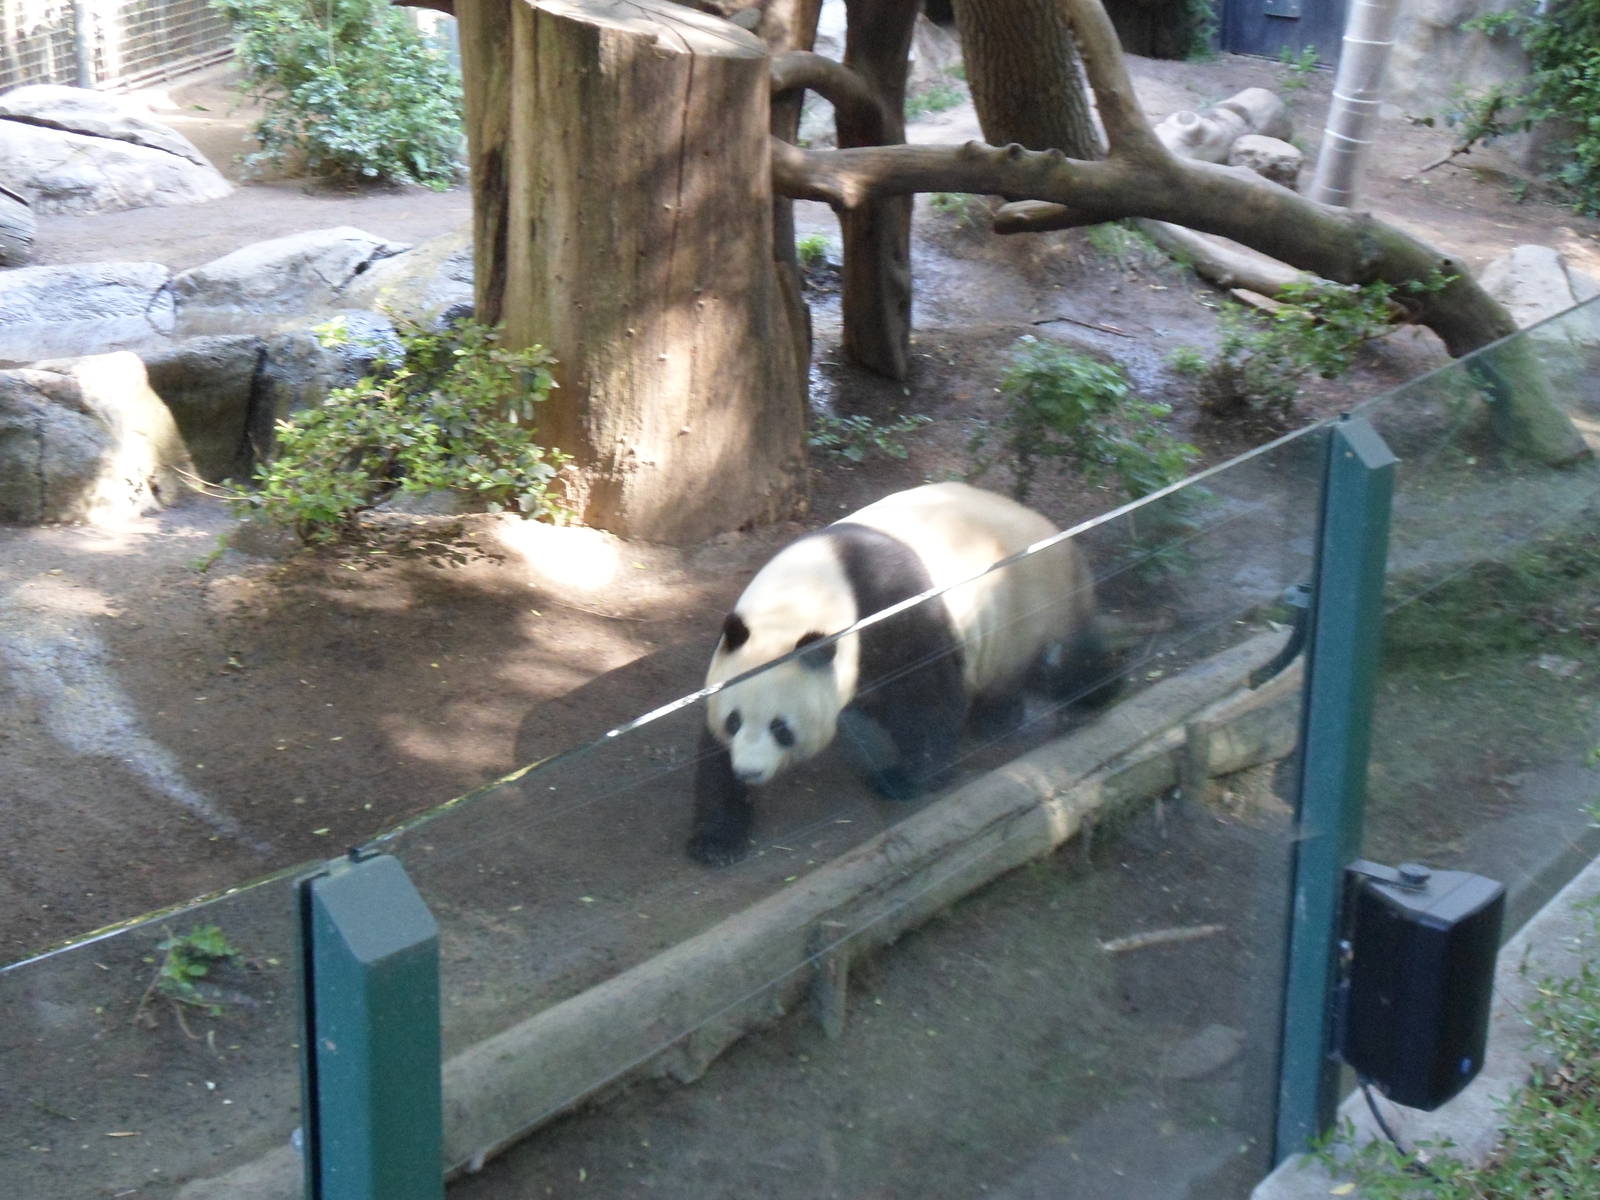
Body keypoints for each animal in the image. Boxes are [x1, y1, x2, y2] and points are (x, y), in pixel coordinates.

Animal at [688, 481, 1114, 866]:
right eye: (733, 721)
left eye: (781, 727)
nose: (750, 770)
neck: (805, 591)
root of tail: (1060, 538)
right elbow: (711, 752)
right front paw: (717, 840)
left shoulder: (892, 605)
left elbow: (925, 691)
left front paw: (904, 778)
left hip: (1031, 605)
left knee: (1057, 660)